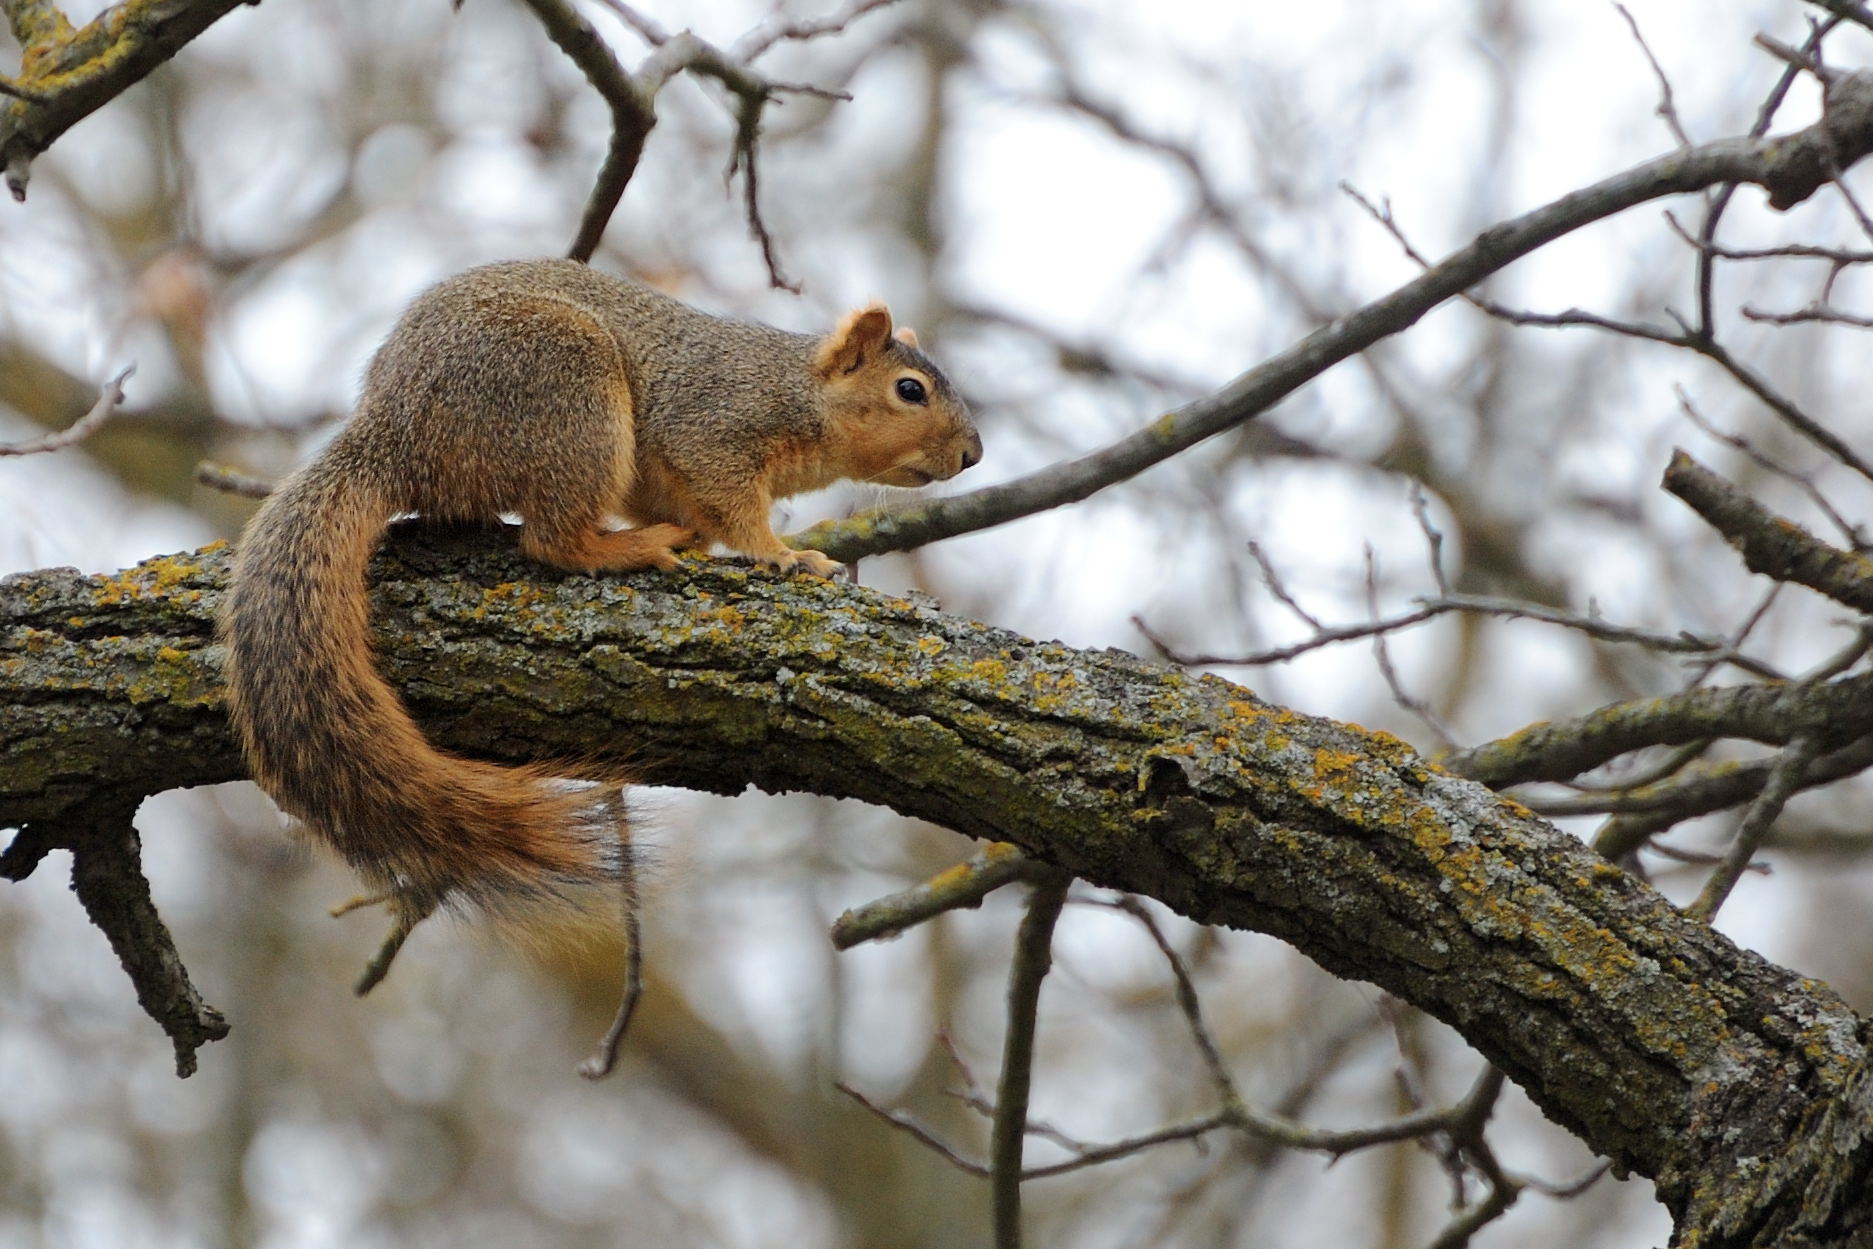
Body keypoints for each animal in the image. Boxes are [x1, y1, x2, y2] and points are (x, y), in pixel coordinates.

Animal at [220, 257, 981, 934]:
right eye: (910, 390)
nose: (973, 453)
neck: (795, 389)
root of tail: (391, 434)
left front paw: (711, 539)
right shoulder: (713, 425)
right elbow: (733, 506)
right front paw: (784, 553)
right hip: (569, 395)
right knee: (551, 540)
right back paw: (625, 548)